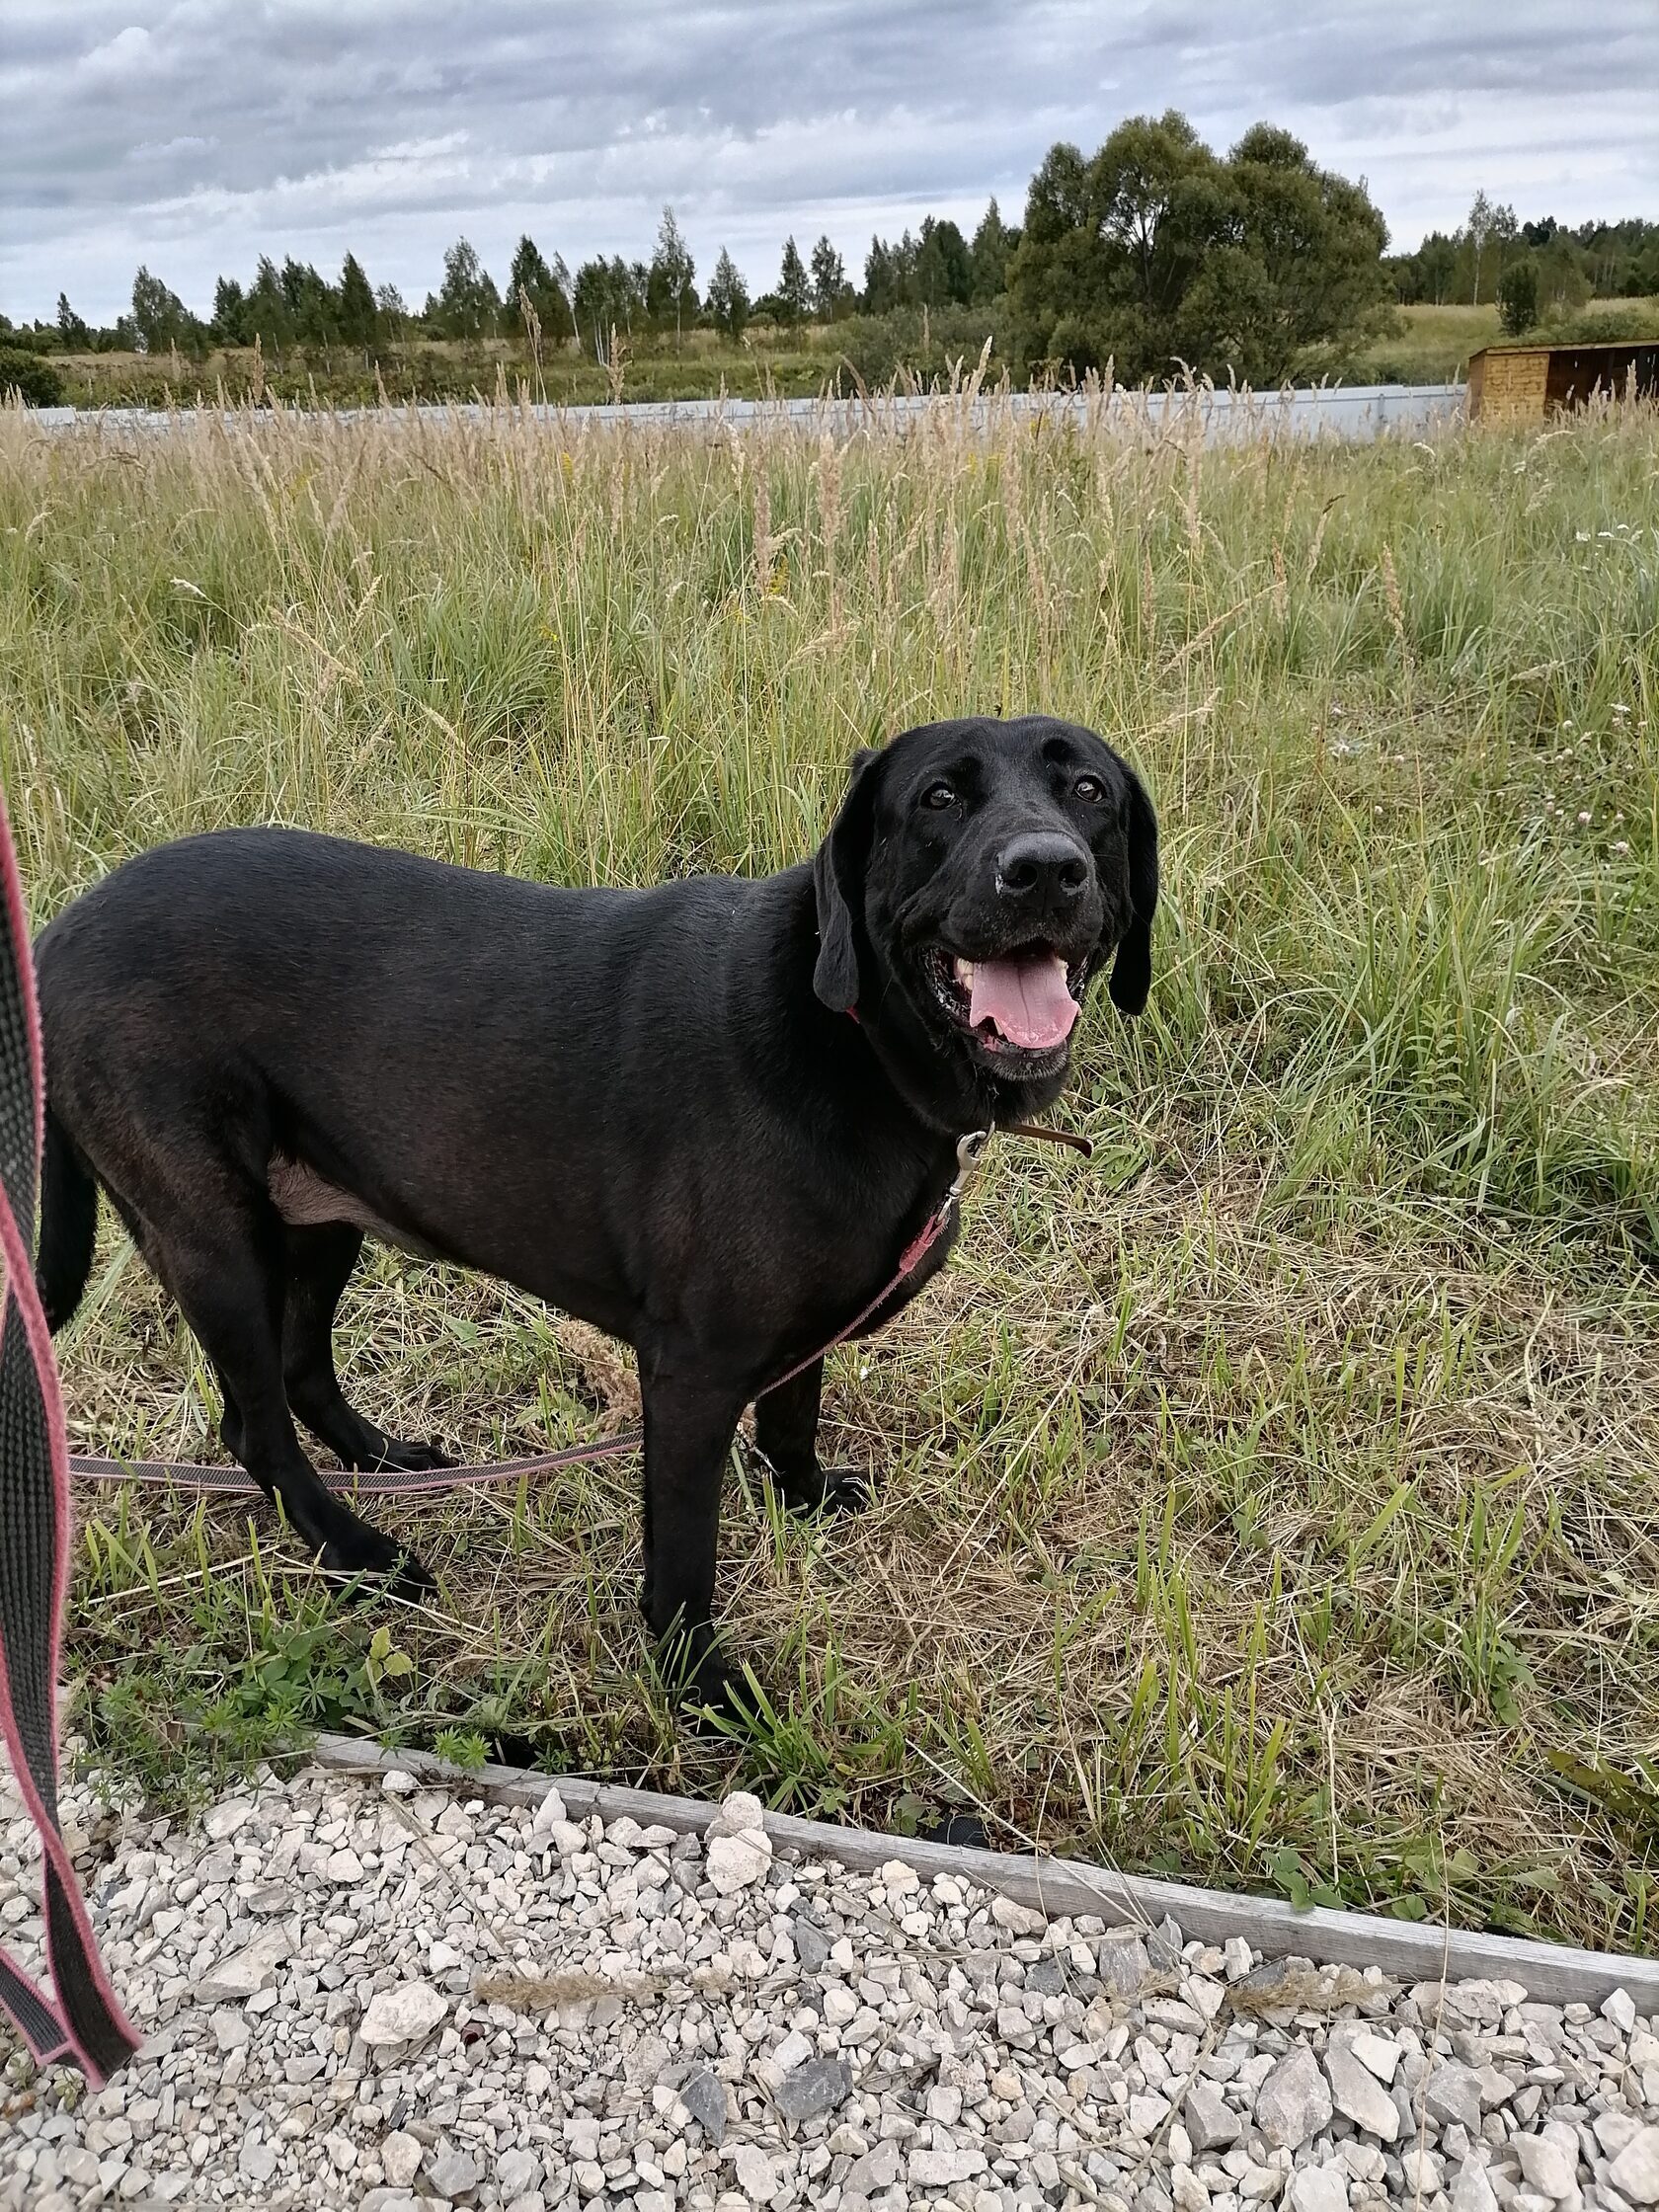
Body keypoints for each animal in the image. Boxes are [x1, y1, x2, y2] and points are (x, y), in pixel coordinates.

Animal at [32, 716, 1158, 1698]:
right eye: (938, 798)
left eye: (1089, 789)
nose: (1044, 869)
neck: (857, 1043)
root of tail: (56, 934)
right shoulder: (692, 1372)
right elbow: (686, 1554)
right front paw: (701, 1683)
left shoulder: (799, 1331)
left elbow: (794, 1412)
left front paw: (802, 1498)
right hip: (217, 1240)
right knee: (252, 1421)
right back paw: (359, 1550)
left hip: (320, 1215)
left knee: (303, 1369)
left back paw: (385, 1462)